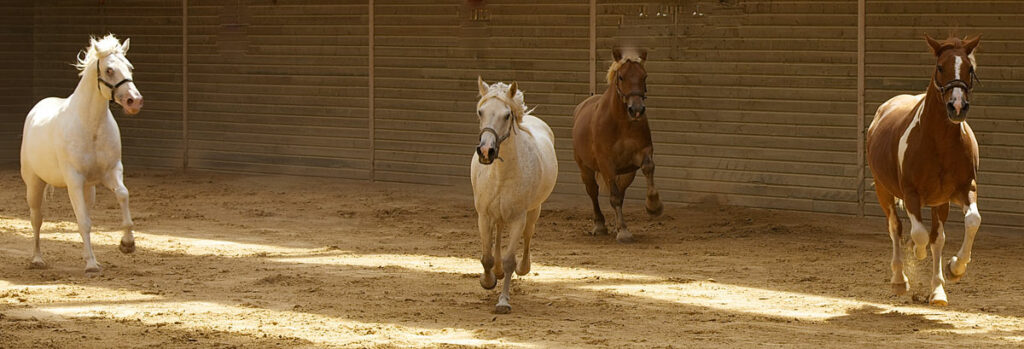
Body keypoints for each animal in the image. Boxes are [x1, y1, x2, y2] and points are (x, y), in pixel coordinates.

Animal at [20, 34, 144, 270]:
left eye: (130, 67)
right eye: (109, 70)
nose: (134, 101)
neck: (91, 126)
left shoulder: (111, 172)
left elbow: (122, 195)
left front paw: (127, 244)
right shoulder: (74, 180)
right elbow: (83, 222)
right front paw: (91, 265)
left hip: (89, 189)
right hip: (34, 183)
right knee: (37, 218)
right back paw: (37, 259)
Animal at [473, 76, 561, 313]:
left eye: (506, 115)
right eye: (480, 112)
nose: (486, 151)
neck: (502, 174)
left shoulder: (518, 218)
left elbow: (510, 260)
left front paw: (503, 301)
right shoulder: (483, 216)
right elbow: (486, 257)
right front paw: (488, 281)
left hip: (533, 211)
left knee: (528, 235)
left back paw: (523, 267)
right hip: (497, 215)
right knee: (497, 235)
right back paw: (496, 271)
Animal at [569, 48, 663, 241]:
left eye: (644, 76)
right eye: (621, 77)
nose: (637, 110)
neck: (621, 122)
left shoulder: (641, 154)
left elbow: (648, 167)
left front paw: (654, 206)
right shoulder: (606, 164)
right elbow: (614, 197)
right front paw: (623, 232)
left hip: (626, 173)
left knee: (621, 190)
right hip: (585, 169)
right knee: (593, 192)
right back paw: (599, 225)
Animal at [868, 34, 978, 304]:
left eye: (969, 68)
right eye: (940, 67)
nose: (957, 107)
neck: (940, 143)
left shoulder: (964, 190)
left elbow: (971, 221)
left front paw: (955, 269)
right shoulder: (911, 195)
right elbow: (918, 234)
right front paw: (916, 252)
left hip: (940, 202)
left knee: (937, 238)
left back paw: (937, 290)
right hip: (883, 191)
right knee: (895, 228)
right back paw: (899, 280)